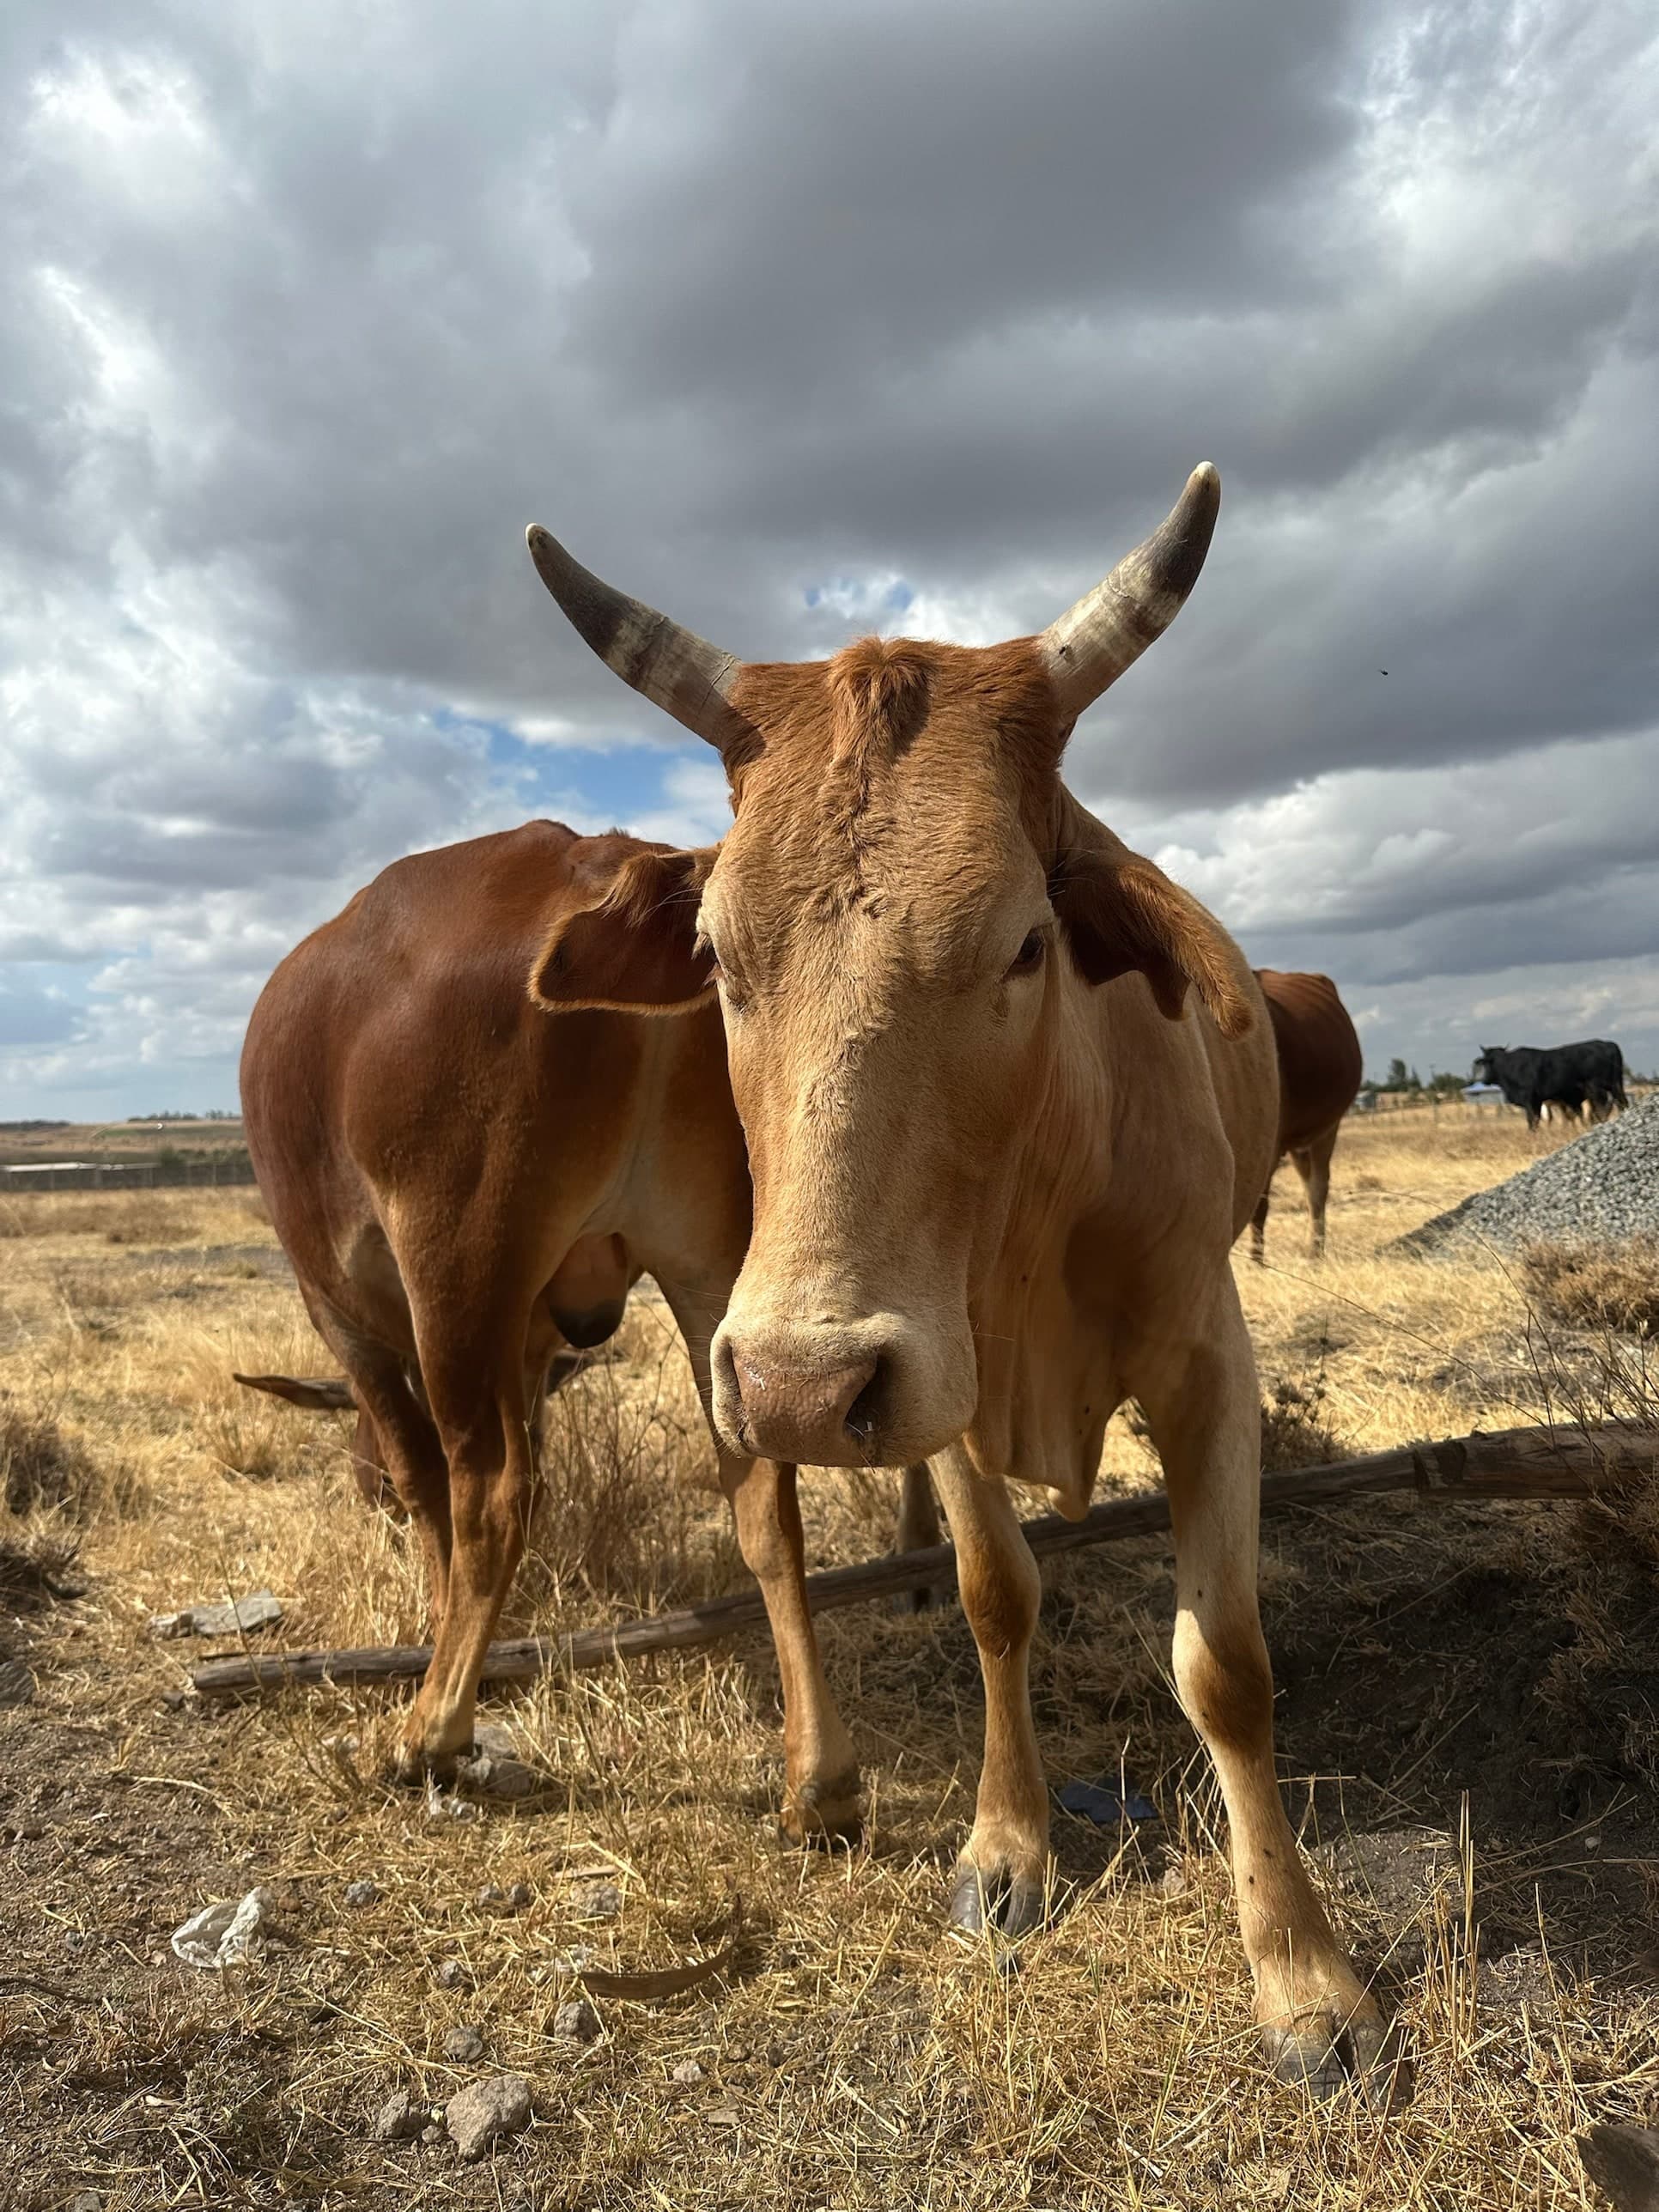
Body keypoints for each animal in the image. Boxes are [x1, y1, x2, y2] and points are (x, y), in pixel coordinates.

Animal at [241, 821, 929, 1818]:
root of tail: (611, 866)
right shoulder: (530, 1335)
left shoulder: (345, 1308)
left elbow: (425, 1477)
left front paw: (442, 1629)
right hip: (714, 1266)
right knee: (765, 1495)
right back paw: (820, 1779)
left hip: (458, 1267)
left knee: (491, 1492)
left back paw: (431, 1733)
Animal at [1471, 1041, 1627, 1130]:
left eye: (1486, 1063)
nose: (1484, 1080)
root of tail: (1607, 1044)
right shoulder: (1539, 1101)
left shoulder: (1530, 1100)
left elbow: (1533, 1121)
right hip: (1615, 1085)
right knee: (1621, 1103)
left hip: (1596, 1087)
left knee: (1602, 1107)